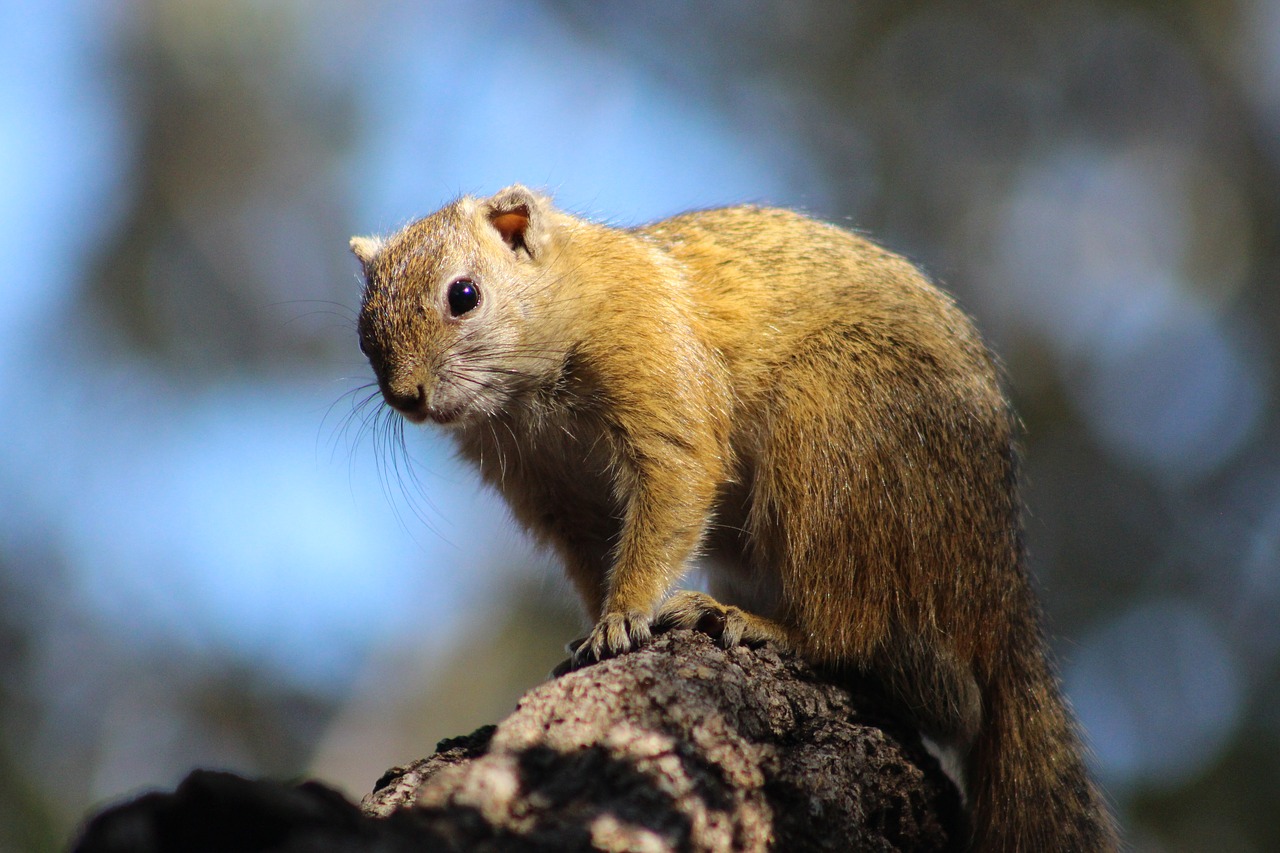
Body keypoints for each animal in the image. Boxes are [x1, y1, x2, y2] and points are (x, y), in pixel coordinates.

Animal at [350, 185, 1121, 850]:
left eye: (464, 295)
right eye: (364, 324)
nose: (407, 395)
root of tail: (1000, 592)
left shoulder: (656, 365)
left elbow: (674, 485)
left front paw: (621, 619)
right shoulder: (554, 495)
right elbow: (594, 554)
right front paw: (594, 626)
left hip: (834, 429)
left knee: (893, 659)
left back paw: (752, 623)